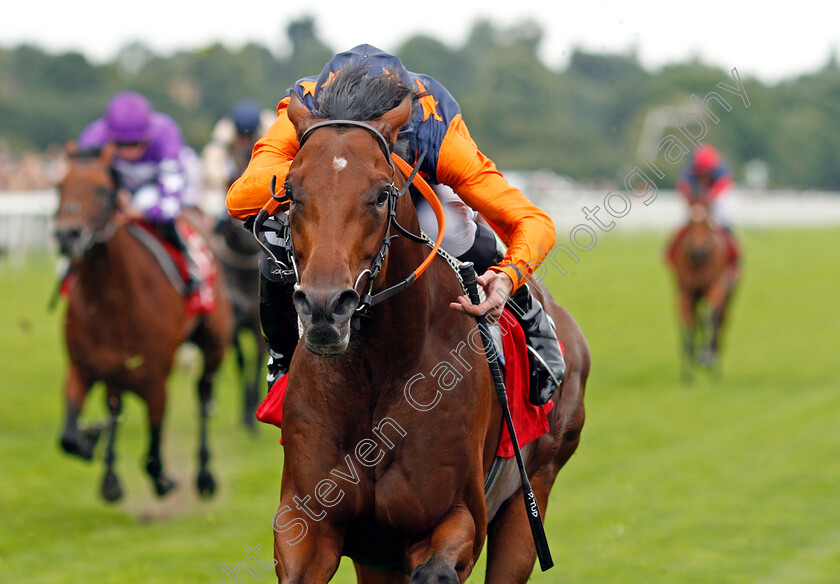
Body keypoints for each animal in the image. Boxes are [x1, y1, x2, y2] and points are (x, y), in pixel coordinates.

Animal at [55, 146, 233, 502]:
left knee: (203, 395)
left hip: (214, 343)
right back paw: (110, 476)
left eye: (102, 190)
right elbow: (68, 437)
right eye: (59, 186)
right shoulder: (84, 367)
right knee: (115, 406)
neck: (111, 298)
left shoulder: (155, 378)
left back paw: (204, 474)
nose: (67, 235)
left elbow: (153, 451)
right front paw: (90, 438)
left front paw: (164, 479)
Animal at [668, 204, 736, 378]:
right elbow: (689, 321)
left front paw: (708, 358)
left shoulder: (716, 287)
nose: (697, 251)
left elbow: (711, 317)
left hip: (728, 293)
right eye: (689, 222)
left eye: (706, 223)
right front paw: (687, 372)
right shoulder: (685, 292)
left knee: (720, 320)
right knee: (698, 318)